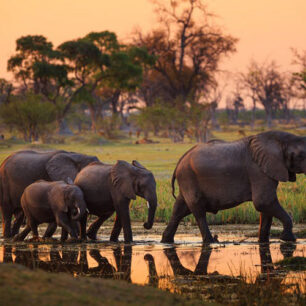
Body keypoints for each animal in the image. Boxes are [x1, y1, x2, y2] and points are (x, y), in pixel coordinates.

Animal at [161, 131, 304, 244]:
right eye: (301, 156)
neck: (279, 140)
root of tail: (181, 159)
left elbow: (265, 207)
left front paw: (263, 242)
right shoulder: (258, 170)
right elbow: (264, 202)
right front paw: (289, 239)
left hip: (186, 180)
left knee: (179, 209)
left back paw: (166, 241)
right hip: (188, 177)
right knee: (198, 210)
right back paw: (211, 242)